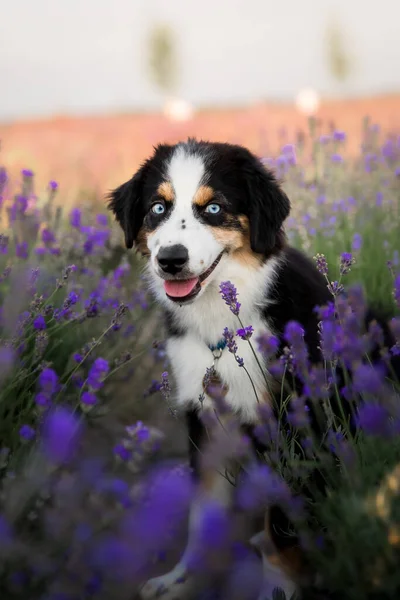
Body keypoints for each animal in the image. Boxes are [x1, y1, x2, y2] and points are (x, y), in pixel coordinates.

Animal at [108, 137, 398, 600]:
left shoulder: (293, 424)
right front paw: (184, 578)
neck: (223, 326)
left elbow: (282, 526)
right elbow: (202, 514)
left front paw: (279, 588)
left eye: (213, 208)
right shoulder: (206, 420)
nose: (171, 260)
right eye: (158, 208)